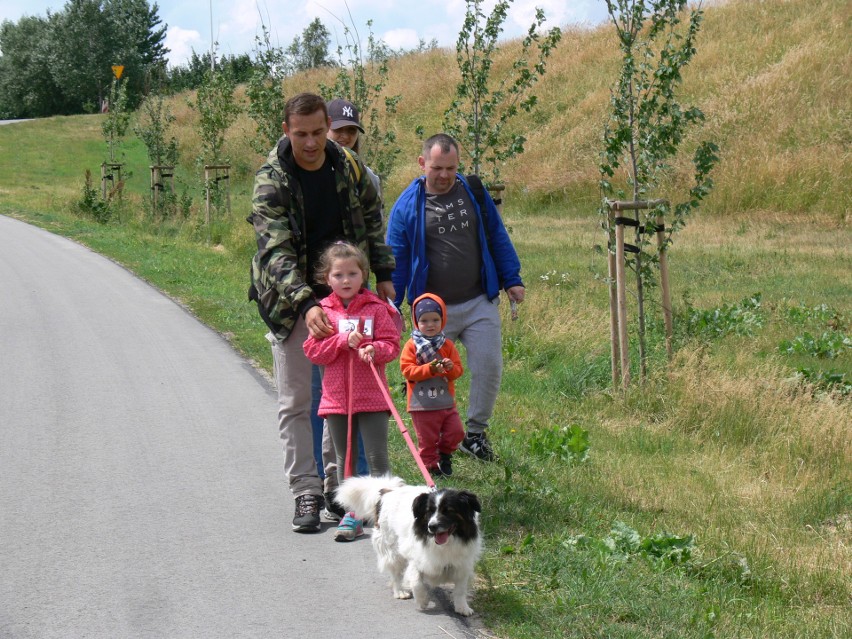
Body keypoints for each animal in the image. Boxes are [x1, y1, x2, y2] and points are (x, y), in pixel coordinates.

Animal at [336, 476, 482, 616]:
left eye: (449, 511)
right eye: (429, 512)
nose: (432, 526)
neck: (446, 543)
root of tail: (388, 491)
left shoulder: (462, 564)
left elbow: (460, 589)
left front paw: (462, 607)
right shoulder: (417, 558)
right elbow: (416, 582)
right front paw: (422, 601)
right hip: (392, 548)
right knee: (395, 573)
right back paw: (399, 591)